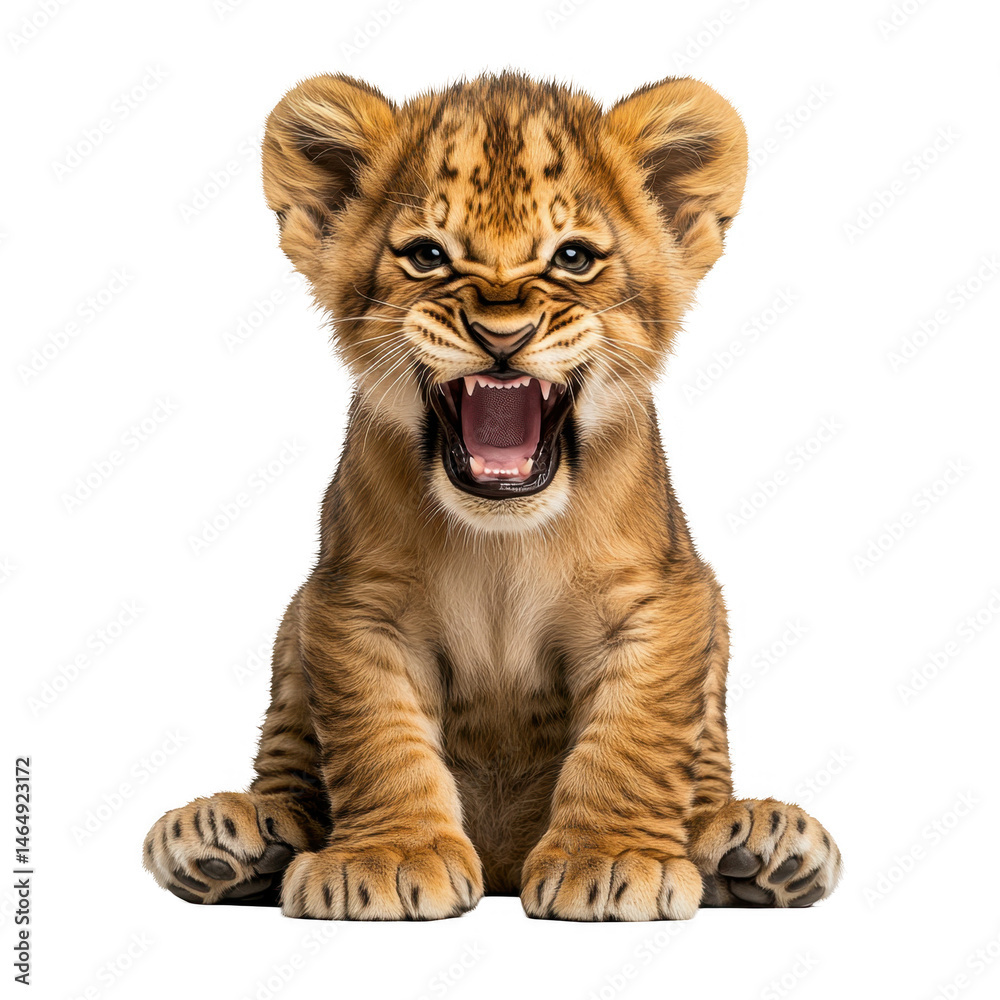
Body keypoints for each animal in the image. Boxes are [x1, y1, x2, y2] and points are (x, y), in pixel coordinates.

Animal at [142, 72, 842, 920]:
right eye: (427, 256)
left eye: (572, 257)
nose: (501, 333)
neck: (503, 540)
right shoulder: (354, 603)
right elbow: (379, 740)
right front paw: (386, 857)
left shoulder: (663, 599)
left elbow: (632, 740)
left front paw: (610, 859)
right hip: (294, 624)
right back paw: (231, 835)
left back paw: (756, 844)